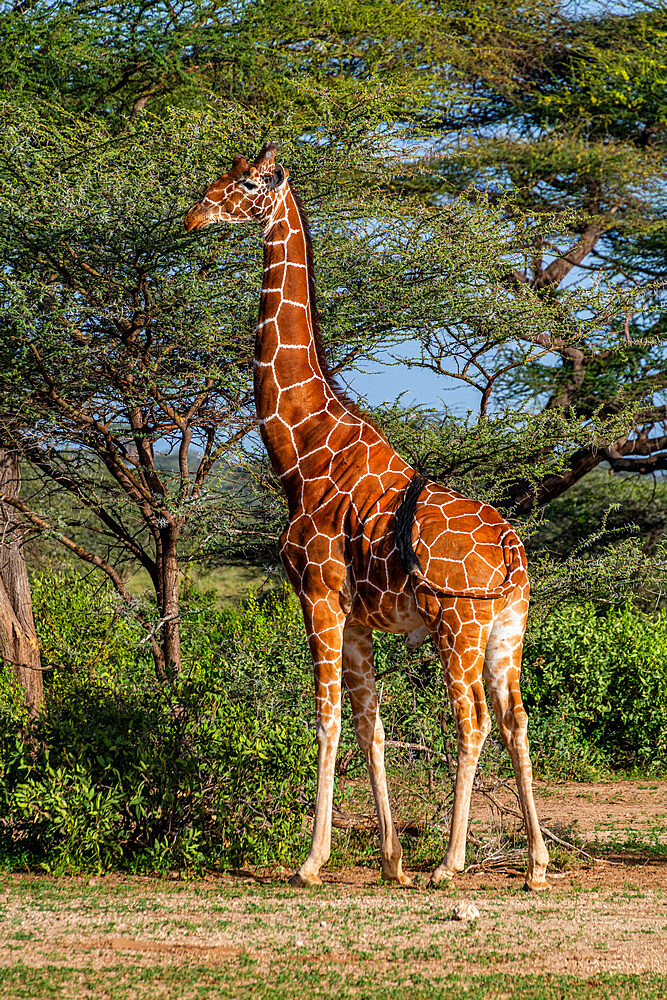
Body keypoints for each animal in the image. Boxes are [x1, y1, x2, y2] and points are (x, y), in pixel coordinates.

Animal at [185, 143, 552, 892]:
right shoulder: (356, 617)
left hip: (458, 628)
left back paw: (450, 864)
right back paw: (533, 864)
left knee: (472, 722)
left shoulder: (318, 596)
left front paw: (312, 861)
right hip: (507, 628)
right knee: (515, 720)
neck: (301, 448)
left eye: (247, 182)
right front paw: (389, 861)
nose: (194, 213)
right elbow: (369, 724)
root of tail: (510, 548)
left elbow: (325, 720)